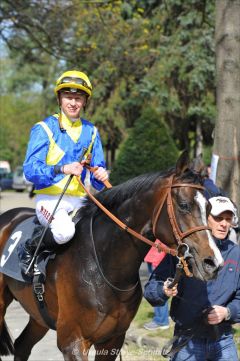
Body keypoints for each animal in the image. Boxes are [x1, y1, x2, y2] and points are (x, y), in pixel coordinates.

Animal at [0, 150, 223, 358]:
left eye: (209, 206)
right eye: (184, 205)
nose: (213, 262)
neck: (104, 267)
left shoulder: (112, 341)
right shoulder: (72, 342)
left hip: (38, 317)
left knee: (22, 346)